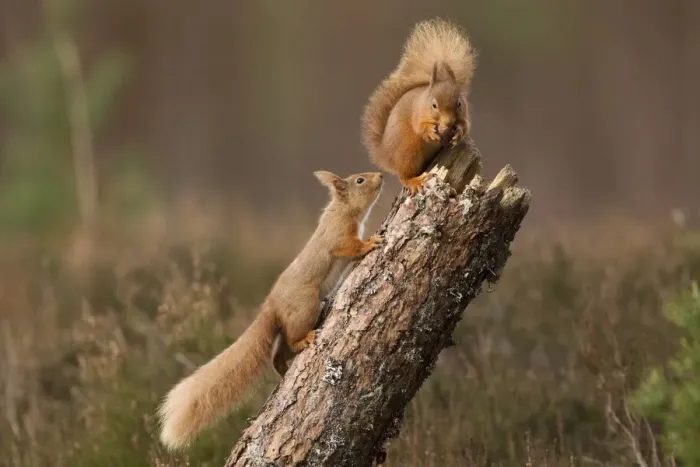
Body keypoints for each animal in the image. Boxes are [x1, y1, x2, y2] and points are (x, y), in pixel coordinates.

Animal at [157, 170, 384, 451]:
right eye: (360, 180)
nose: (381, 175)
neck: (343, 210)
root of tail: (271, 306)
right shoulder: (338, 236)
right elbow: (351, 247)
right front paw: (371, 243)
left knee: (278, 354)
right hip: (305, 307)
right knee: (291, 340)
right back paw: (304, 341)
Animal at [361, 18, 477, 195]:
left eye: (459, 103)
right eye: (434, 105)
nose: (449, 122)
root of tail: (386, 155)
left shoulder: (463, 115)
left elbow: (465, 125)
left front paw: (458, 133)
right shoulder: (417, 114)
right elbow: (420, 126)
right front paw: (431, 132)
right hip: (409, 152)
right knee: (404, 176)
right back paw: (414, 181)